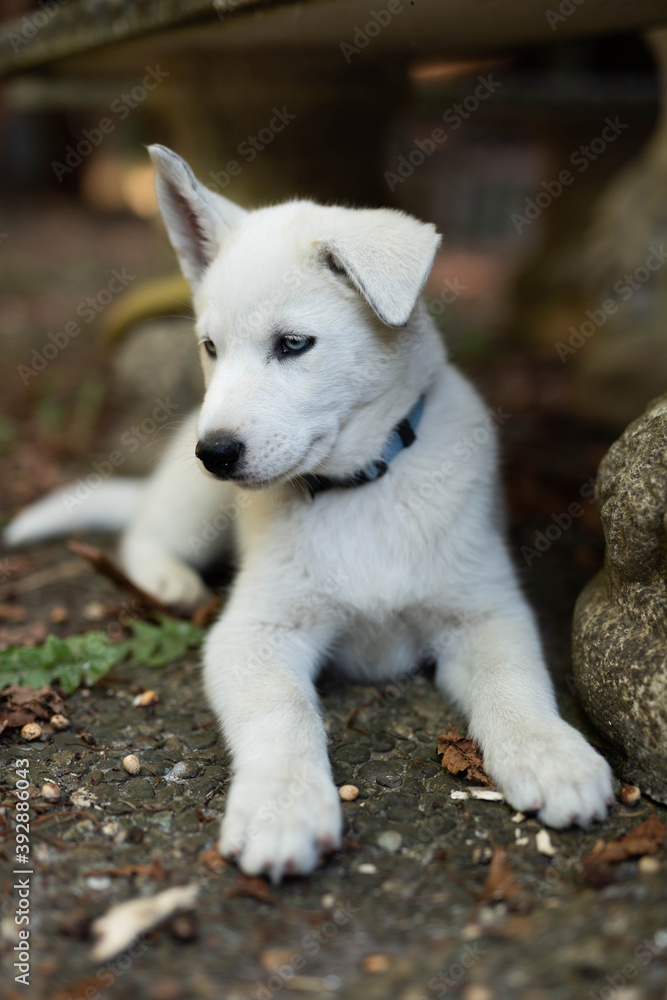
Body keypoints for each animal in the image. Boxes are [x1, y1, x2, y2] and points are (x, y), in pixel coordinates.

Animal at [5, 145, 612, 880]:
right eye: (210, 348)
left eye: (294, 344)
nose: (216, 453)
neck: (358, 487)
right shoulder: (254, 631)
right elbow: (283, 713)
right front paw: (281, 807)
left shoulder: (483, 608)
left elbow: (516, 682)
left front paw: (552, 753)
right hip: (195, 503)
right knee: (145, 534)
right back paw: (170, 581)